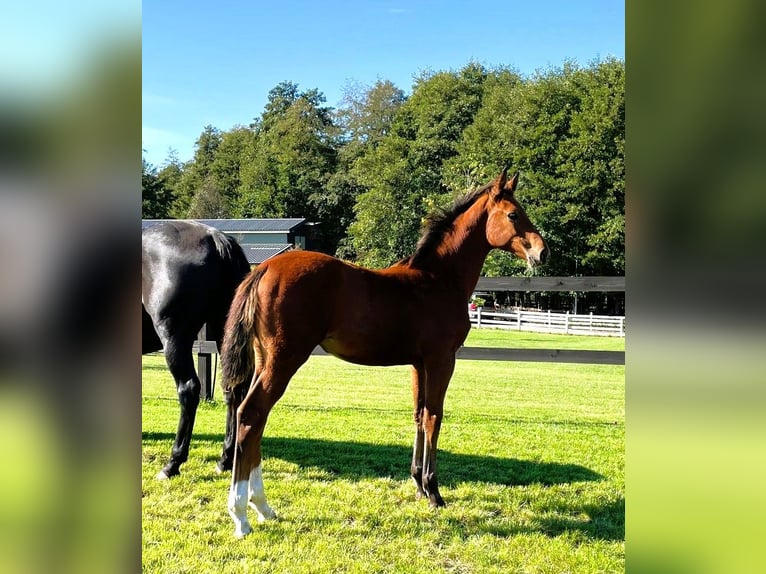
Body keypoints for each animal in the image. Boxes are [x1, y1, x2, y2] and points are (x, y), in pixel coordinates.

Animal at [142, 220, 251, 479]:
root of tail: (214, 238)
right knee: (234, 389)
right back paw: (225, 460)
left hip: (174, 339)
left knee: (189, 390)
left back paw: (172, 464)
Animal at [220, 169, 548, 537]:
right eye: (514, 214)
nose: (543, 252)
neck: (439, 279)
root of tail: (264, 268)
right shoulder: (441, 360)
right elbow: (434, 417)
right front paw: (434, 491)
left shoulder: (418, 364)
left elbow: (418, 415)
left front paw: (418, 484)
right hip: (284, 359)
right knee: (251, 414)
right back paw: (241, 515)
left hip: (266, 360)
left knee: (255, 418)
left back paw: (262, 506)